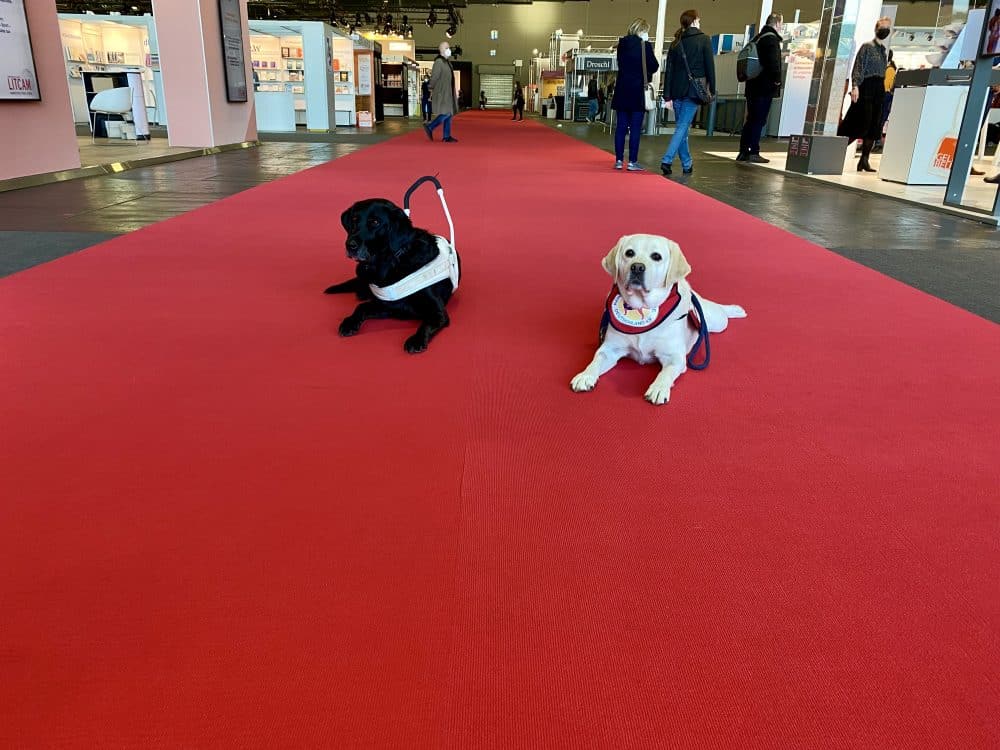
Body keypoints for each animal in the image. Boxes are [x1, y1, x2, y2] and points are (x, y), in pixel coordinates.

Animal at [326, 198, 458, 354]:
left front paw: (416, 340)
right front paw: (350, 322)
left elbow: (426, 324)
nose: (349, 245)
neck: (390, 262)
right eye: (354, 220)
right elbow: (361, 307)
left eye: (375, 222)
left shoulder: (438, 312)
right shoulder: (387, 305)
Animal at [576, 235, 748, 408]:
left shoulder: (674, 357)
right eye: (629, 253)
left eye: (656, 256)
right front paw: (585, 375)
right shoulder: (610, 349)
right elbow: (596, 361)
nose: (637, 267)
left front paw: (658, 388)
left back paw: (735, 309)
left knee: (720, 312)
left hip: (715, 321)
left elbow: (666, 373)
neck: (643, 308)